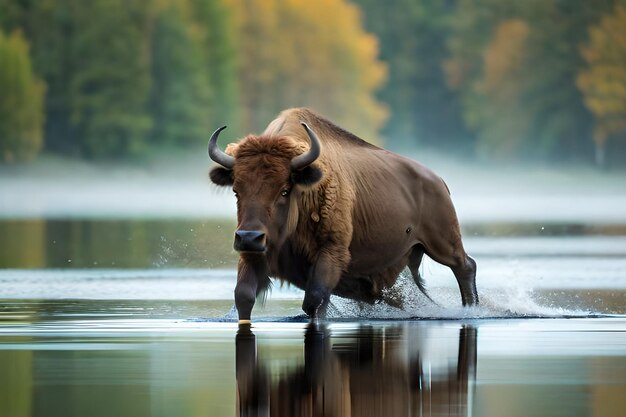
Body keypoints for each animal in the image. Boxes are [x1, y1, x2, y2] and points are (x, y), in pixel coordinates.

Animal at [207, 107, 476, 322]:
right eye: (236, 190)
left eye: (284, 190)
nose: (249, 237)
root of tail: (438, 181)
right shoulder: (255, 255)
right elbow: (243, 296)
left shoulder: (331, 252)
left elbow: (314, 301)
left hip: (443, 243)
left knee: (465, 266)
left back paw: (471, 310)